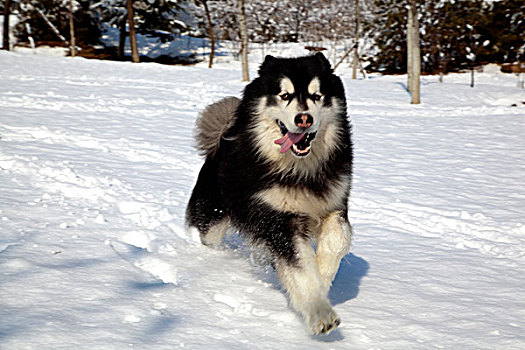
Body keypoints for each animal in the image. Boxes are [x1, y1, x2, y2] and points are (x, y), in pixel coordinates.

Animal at [186, 53, 354, 334]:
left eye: (317, 96)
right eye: (284, 95)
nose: (304, 119)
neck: (300, 170)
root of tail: (220, 140)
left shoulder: (334, 203)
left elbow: (337, 241)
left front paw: (323, 275)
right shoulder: (279, 221)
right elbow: (301, 268)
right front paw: (320, 311)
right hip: (213, 218)